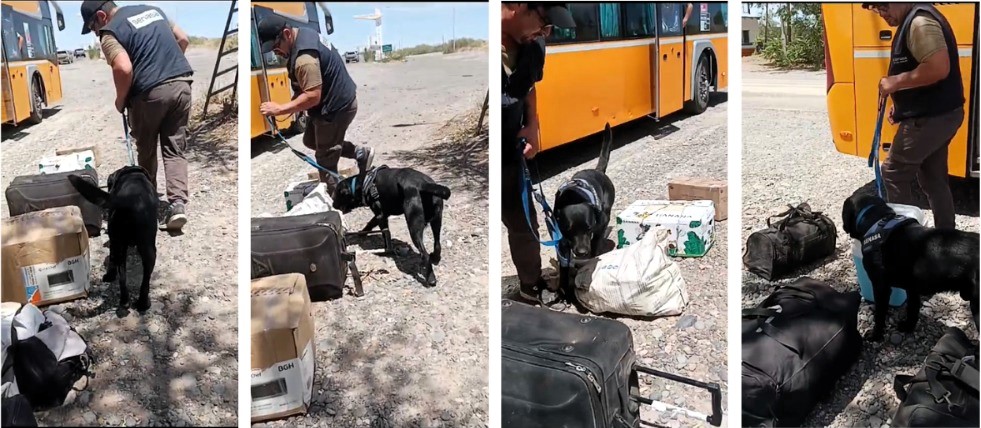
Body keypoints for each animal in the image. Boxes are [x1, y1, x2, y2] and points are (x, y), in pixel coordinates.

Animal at [69, 166, 158, 316]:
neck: (133, 174)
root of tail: (128, 201)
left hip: (126, 245)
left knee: (125, 276)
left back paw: (128, 302)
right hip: (137, 247)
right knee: (139, 279)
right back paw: (140, 302)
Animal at [552, 122, 612, 292]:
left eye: (589, 227)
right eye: (569, 229)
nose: (582, 252)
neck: (573, 198)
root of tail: (598, 171)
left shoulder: (600, 225)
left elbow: (595, 244)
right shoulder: (562, 241)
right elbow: (563, 267)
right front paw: (563, 289)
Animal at [840, 194, 976, 342]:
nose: (842, 226)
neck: (876, 220)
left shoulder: (881, 287)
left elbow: (879, 315)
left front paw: (875, 335)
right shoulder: (912, 288)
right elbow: (913, 309)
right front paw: (908, 327)